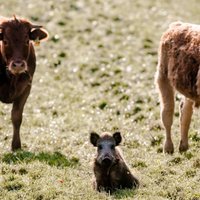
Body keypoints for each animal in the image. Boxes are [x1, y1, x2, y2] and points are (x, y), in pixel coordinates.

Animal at [0, 16, 48, 150]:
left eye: (27, 41)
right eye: (5, 41)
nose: (18, 64)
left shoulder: (26, 88)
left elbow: (17, 116)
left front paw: (16, 146)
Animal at [155, 21, 200, 153]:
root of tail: (177, 24)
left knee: (185, 112)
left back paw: (183, 146)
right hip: (163, 78)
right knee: (167, 114)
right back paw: (168, 148)